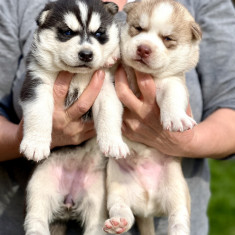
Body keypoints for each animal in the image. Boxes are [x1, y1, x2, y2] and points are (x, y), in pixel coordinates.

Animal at [21, 0, 129, 235]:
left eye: (99, 34)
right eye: (67, 32)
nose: (86, 54)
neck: (77, 76)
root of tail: (68, 201)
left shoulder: (106, 87)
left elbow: (109, 113)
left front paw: (113, 143)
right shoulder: (37, 83)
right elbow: (38, 113)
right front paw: (35, 144)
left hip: (96, 197)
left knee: (95, 223)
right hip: (40, 184)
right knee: (35, 217)